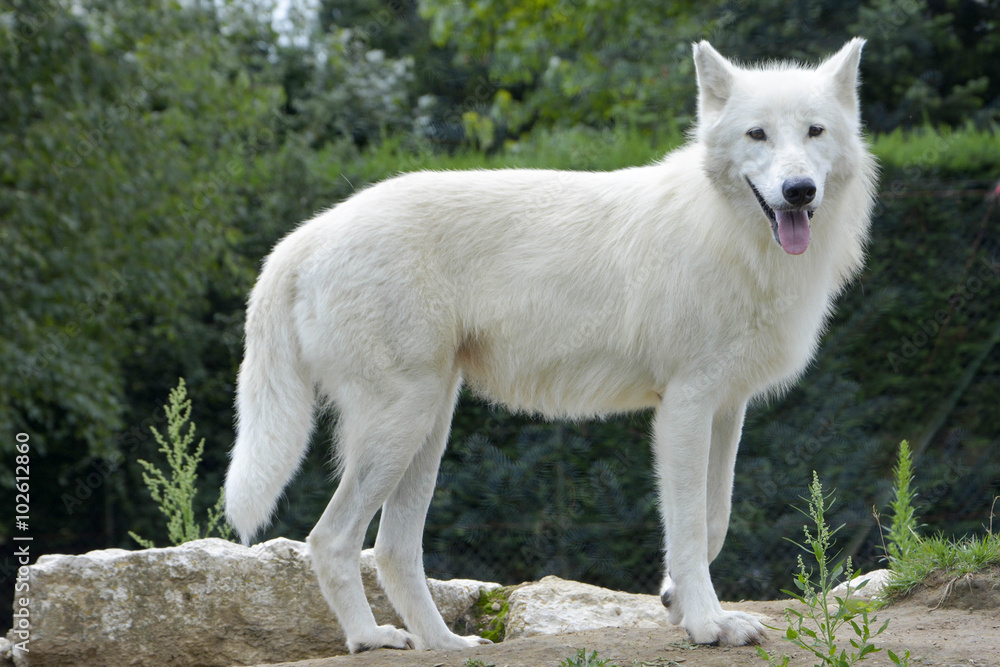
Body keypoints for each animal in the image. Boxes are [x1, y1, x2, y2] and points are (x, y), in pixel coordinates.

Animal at [224, 38, 877, 651]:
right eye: (757, 134)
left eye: (815, 131)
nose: (798, 190)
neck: (733, 235)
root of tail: (306, 235)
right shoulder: (685, 406)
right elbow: (690, 526)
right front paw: (708, 624)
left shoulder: (726, 407)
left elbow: (714, 520)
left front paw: (675, 599)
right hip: (400, 425)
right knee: (331, 539)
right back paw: (370, 639)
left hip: (427, 427)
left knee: (391, 550)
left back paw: (446, 644)